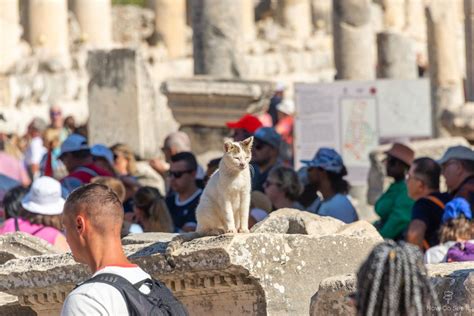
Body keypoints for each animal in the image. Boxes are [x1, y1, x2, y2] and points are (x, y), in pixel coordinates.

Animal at [164, 136, 254, 266]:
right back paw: (219, 230)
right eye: (236, 158)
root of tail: (198, 227)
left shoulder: (245, 195)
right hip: (206, 205)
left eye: (246, 157)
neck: (237, 176)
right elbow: (228, 215)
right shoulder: (224, 197)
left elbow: (244, 214)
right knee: (206, 231)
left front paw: (243, 229)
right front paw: (231, 230)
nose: (243, 164)